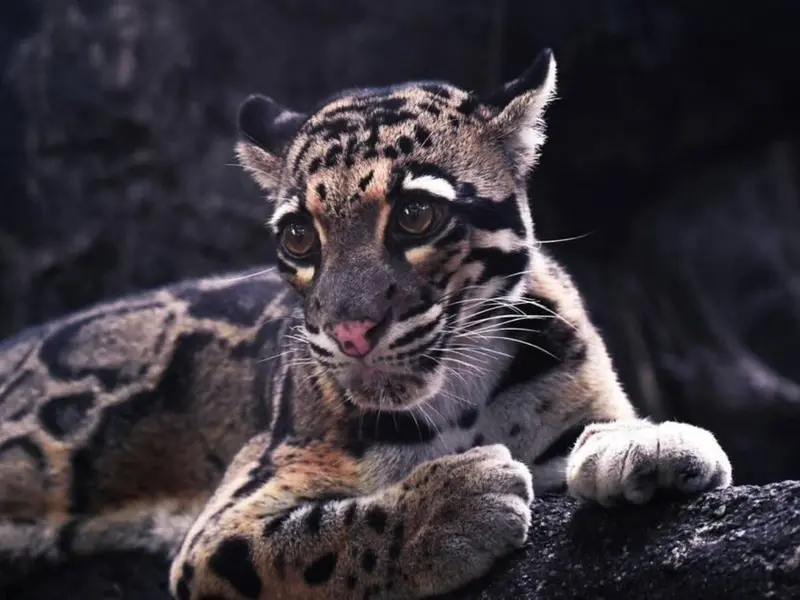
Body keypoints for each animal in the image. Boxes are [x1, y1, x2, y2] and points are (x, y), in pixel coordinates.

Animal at [0, 49, 732, 599]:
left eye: (415, 216)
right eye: (299, 237)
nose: (351, 332)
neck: (459, 403)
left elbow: (600, 425)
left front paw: (646, 442)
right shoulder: (222, 523)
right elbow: (304, 545)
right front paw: (451, 506)